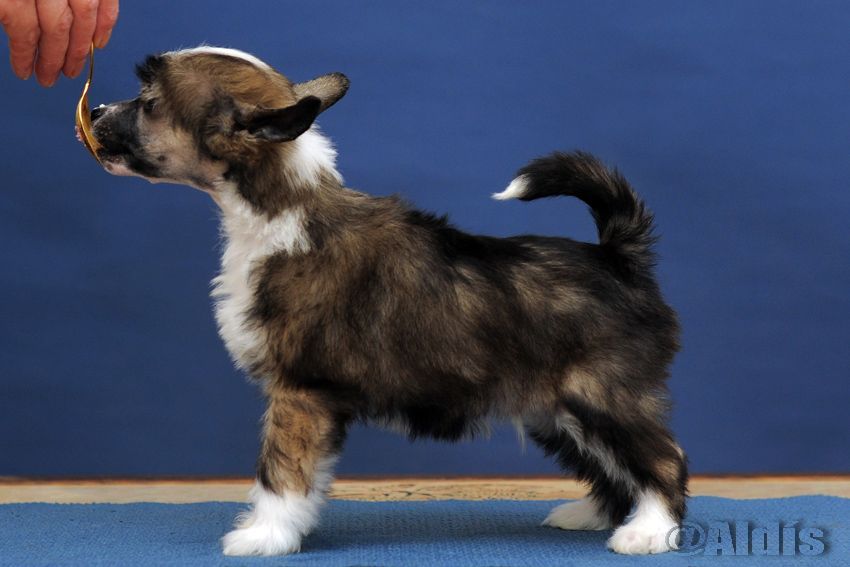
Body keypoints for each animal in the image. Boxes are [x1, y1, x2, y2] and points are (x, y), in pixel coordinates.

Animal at [88, 46, 687, 556]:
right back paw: (594, 514)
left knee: (663, 459)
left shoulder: (299, 392)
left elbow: (281, 470)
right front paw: (284, 529)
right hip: (556, 410)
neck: (282, 210)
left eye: (149, 104)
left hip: (602, 397)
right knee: (614, 465)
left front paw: (264, 535)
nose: (93, 111)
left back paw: (648, 532)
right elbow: (301, 475)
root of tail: (617, 256)